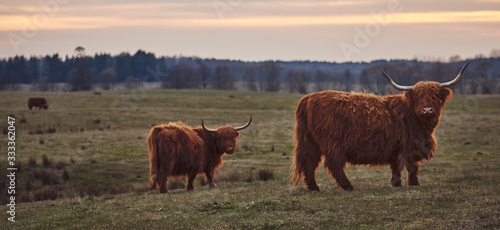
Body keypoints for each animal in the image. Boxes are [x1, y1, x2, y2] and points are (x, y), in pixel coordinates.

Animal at [292, 60, 470, 190]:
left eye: (434, 96)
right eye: (418, 97)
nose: (427, 109)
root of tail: (309, 97)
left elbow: (409, 166)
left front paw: (412, 184)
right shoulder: (405, 146)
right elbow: (405, 166)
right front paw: (399, 184)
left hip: (311, 141)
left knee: (309, 162)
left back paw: (314, 187)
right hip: (332, 142)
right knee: (333, 164)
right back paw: (348, 186)